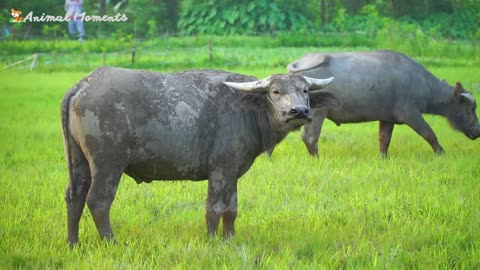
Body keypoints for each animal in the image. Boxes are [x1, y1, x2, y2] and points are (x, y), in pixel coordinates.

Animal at [61, 66, 338, 246]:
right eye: (275, 92)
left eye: (304, 90)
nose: (299, 111)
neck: (247, 109)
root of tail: (82, 85)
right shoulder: (220, 170)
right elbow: (213, 207)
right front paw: (212, 240)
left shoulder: (232, 173)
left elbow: (231, 209)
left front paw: (230, 239)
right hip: (108, 164)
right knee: (98, 201)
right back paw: (112, 241)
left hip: (79, 162)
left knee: (74, 197)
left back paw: (73, 242)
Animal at [284, 49, 480, 157]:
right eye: (471, 108)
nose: (478, 131)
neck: (422, 83)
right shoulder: (411, 114)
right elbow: (429, 133)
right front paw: (441, 153)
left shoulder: (387, 118)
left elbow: (384, 139)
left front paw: (383, 157)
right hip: (318, 112)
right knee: (310, 137)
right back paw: (316, 158)